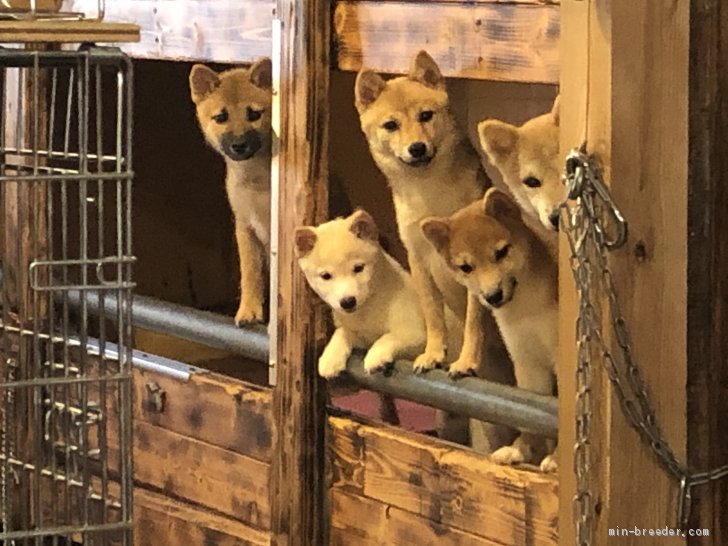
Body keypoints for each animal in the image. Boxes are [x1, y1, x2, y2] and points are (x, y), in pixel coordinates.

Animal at [191, 59, 272, 324]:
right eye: (221, 116)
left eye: (254, 114)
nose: (239, 145)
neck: (254, 182)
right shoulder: (245, 227)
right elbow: (249, 274)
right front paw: (249, 309)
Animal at [294, 210, 426, 376]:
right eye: (326, 276)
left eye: (358, 268)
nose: (348, 301)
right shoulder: (361, 336)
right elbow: (342, 332)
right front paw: (330, 358)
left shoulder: (417, 334)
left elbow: (390, 337)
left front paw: (376, 355)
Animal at [354, 50, 506, 378]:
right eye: (391, 125)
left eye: (425, 116)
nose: (417, 147)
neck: (430, 196)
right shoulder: (419, 260)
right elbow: (433, 318)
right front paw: (433, 354)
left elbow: (475, 323)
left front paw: (466, 361)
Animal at [420, 189, 556, 470]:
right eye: (466, 267)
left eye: (501, 252)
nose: (492, 296)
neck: (527, 309)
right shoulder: (528, 365)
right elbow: (531, 418)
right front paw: (520, 449)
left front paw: (557, 459)